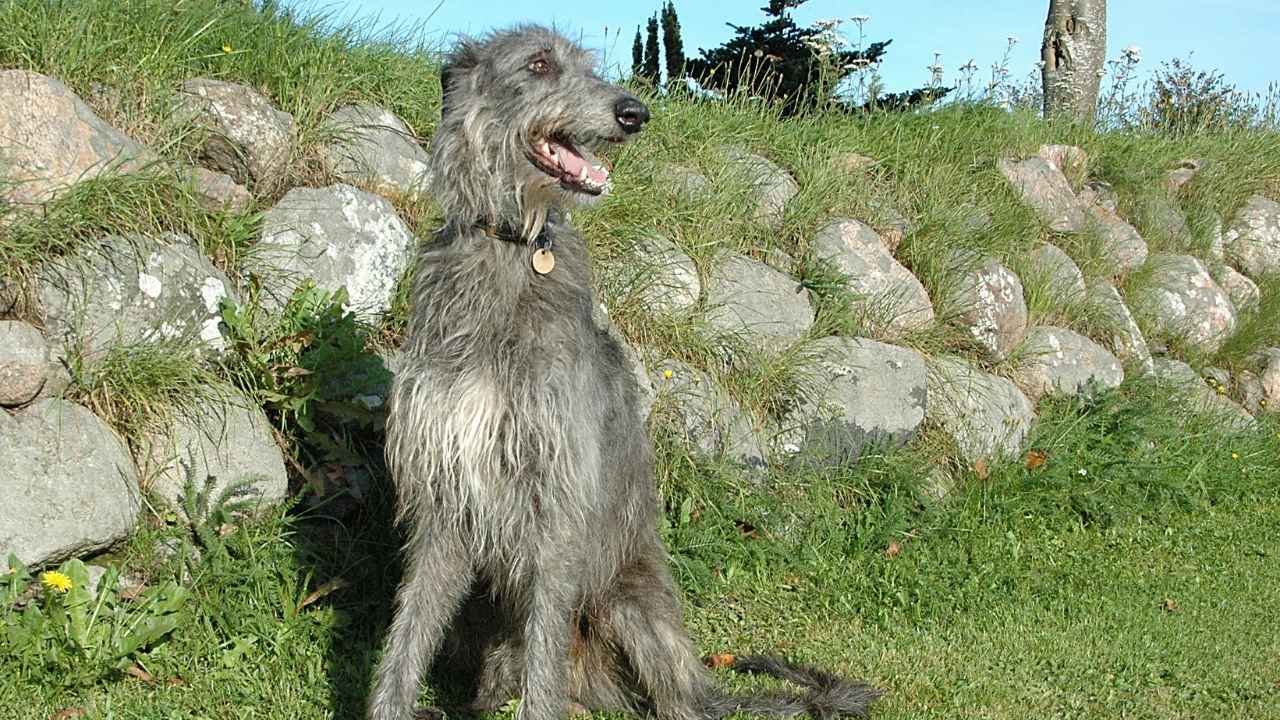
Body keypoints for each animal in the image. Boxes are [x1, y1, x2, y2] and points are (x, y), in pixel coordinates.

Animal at [371, 25, 880, 717]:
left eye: (589, 66)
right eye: (539, 65)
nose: (634, 112)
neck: (510, 247)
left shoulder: (557, 496)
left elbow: (540, 663)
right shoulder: (448, 486)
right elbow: (406, 636)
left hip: (632, 608)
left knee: (667, 699)